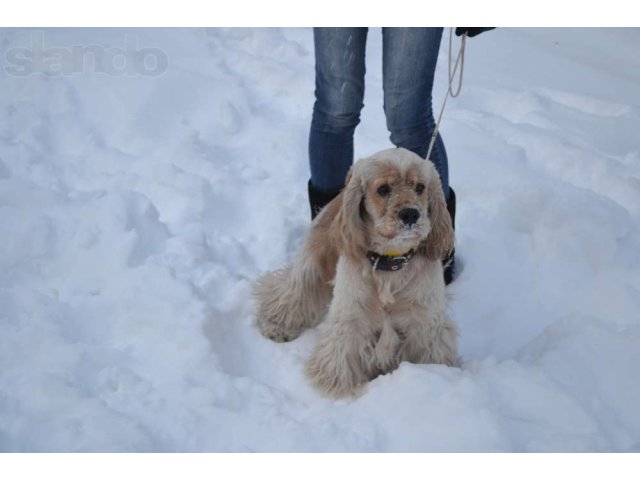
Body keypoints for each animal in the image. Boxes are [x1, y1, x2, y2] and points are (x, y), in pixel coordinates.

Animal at [252, 148, 458, 400]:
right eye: (383, 189)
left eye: (420, 187)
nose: (410, 214)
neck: (391, 262)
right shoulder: (350, 318)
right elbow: (341, 358)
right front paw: (339, 390)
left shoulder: (425, 323)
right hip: (311, 264)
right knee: (290, 292)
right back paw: (277, 326)